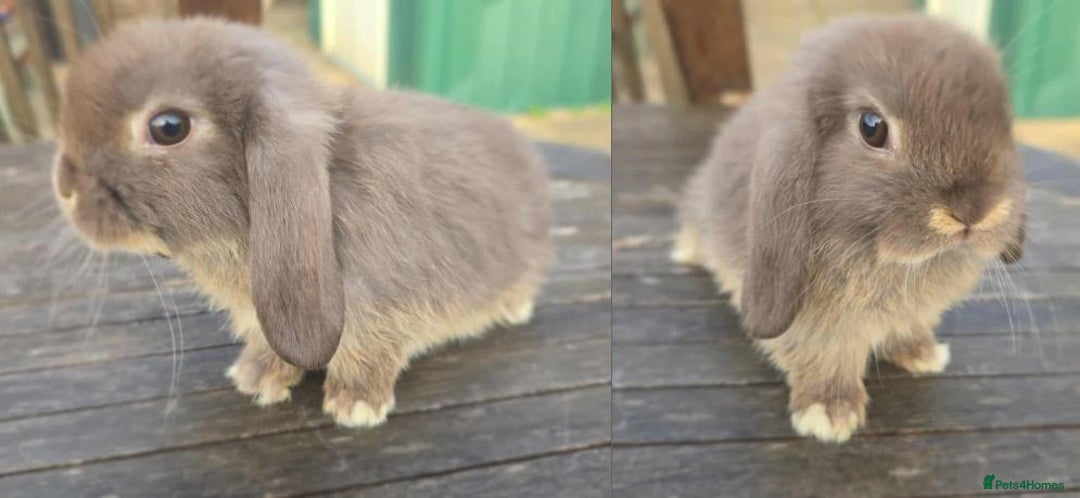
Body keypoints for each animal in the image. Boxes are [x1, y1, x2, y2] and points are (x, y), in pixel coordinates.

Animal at [51, 18, 551, 428]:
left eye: (169, 127)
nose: (64, 187)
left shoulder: (381, 305)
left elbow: (368, 349)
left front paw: (355, 405)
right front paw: (255, 377)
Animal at [673, 15, 1026, 443]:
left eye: (1004, 122)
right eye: (872, 127)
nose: (974, 211)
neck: (894, 264)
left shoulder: (913, 314)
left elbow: (908, 329)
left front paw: (922, 354)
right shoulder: (813, 328)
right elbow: (824, 358)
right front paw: (829, 414)